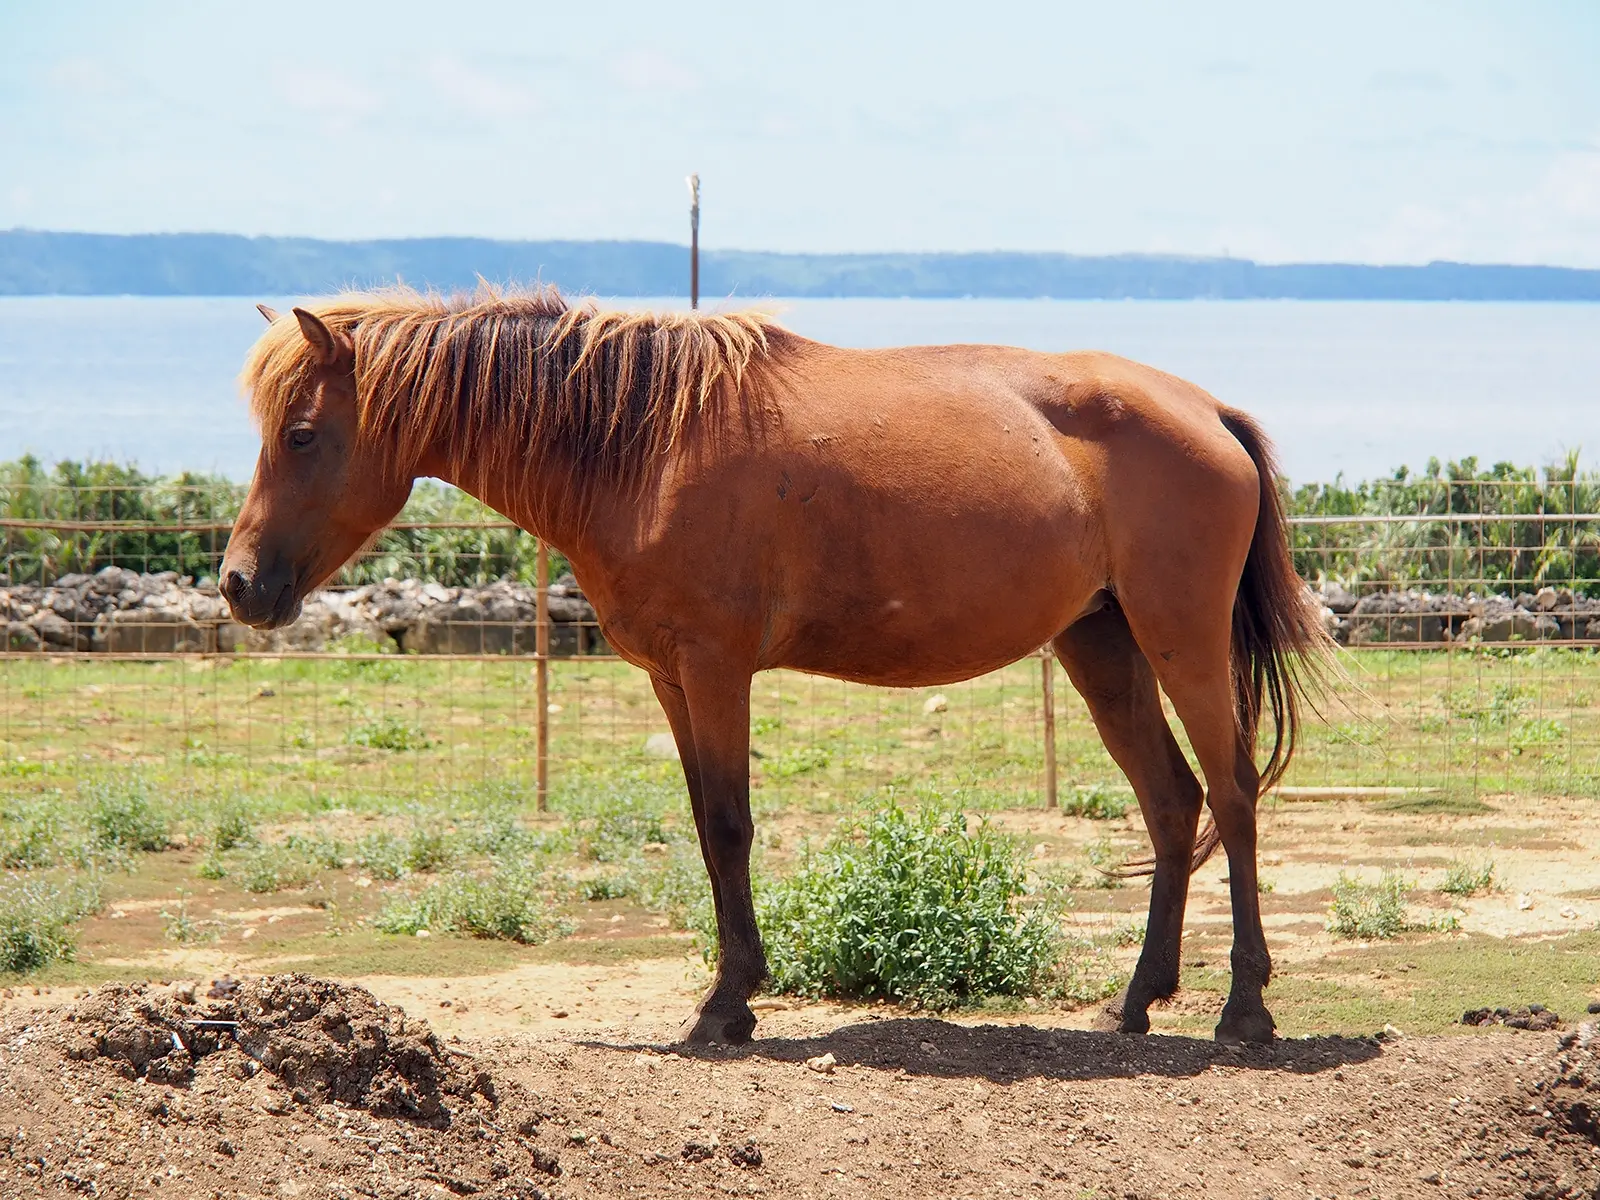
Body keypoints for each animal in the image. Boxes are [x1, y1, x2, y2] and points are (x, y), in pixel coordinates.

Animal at [219, 286, 1331, 1049]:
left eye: (303, 434)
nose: (238, 584)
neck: (640, 445)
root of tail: (1208, 411)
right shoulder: (671, 677)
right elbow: (708, 827)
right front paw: (734, 996)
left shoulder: (717, 668)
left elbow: (730, 825)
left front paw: (726, 1004)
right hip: (1102, 646)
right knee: (1172, 802)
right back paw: (1136, 1002)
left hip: (1181, 639)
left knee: (1232, 795)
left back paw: (1243, 1010)